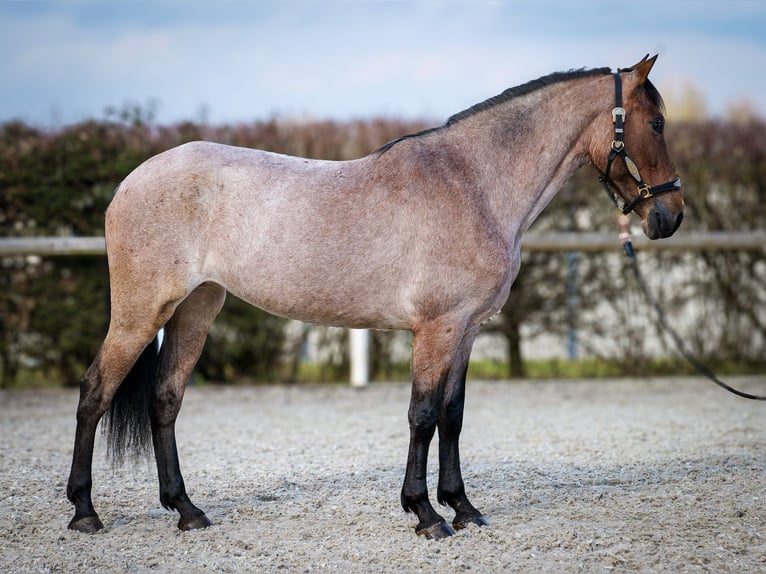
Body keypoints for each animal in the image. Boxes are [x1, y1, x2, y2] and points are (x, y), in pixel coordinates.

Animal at [69, 54, 688, 540]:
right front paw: (425, 515)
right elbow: (422, 415)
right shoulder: (436, 328)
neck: (473, 184)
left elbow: (452, 415)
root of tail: (131, 181)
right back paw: (84, 512)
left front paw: (463, 508)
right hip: (141, 311)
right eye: (656, 122)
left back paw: (187, 511)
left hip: (197, 308)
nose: (670, 216)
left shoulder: (466, 330)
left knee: (165, 399)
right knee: (95, 392)